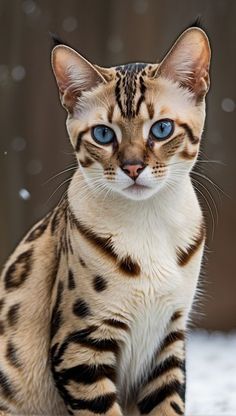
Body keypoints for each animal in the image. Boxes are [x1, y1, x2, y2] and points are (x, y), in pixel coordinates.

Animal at [0, 25, 210, 416]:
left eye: (161, 129)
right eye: (103, 134)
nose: (133, 167)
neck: (148, 227)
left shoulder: (169, 340)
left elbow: (169, 407)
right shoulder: (81, 343)